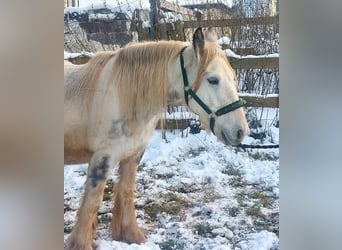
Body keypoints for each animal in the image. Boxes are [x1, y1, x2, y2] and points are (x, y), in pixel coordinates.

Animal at [63, 26, 248, 249]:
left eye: (233, 79)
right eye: (213, 80)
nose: (240, 131)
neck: (123, 96)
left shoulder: (133, 155)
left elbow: (127, 192)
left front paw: (131, 235)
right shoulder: (102, 158)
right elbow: (92, 202)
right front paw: (80, 244)